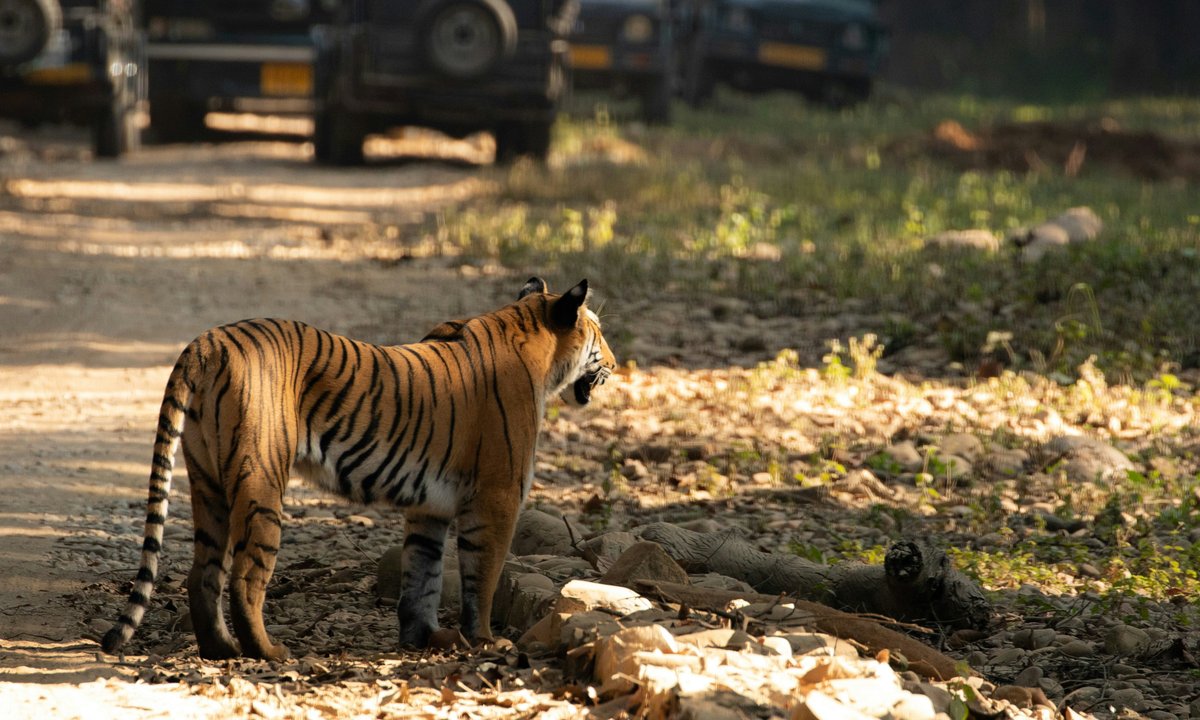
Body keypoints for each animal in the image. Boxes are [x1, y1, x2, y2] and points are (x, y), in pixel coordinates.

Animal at [100, 277, 615, 660]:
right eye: (598, 332)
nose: (614, 363)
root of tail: (207, 342)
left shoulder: (431, 507)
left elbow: (423, 575)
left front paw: (425, 639)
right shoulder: (497, 498)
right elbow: (481, 578)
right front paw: (486, 641)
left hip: (209, 483)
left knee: (202, 572)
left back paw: (220, 649)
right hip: (260, 482)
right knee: (246, 578)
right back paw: (269, 652)